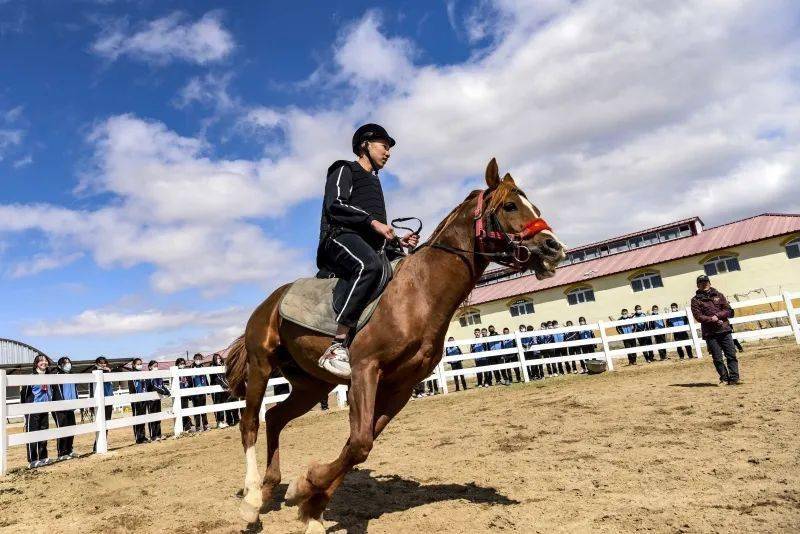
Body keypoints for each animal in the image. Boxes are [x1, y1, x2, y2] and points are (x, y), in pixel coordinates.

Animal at [222, 157, 564, 532]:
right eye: (510, 206)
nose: (554, 248)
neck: (419, 294)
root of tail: (271, 301)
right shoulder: (365, 371)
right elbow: (359, 443)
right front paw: (306, 490)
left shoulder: (401, 386)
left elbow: (357, 445)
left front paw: (310, 502)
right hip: (261, 365)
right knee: (250, 423)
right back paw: (251, 501)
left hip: (312, 385)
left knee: (276, 417)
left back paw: (269, 490)